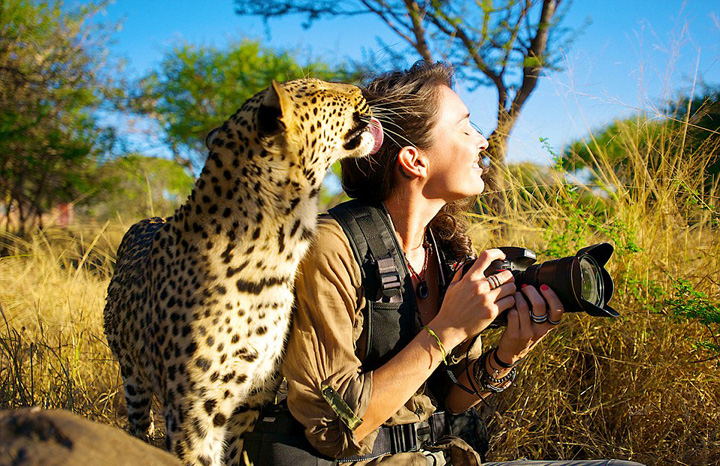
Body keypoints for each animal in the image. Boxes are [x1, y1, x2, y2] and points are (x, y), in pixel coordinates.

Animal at [105, 79, 386, 466]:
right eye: (319, 88)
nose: (361, 89)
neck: (279, 247)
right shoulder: (193, 415)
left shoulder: (250, 402)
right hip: (131, 378)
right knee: (138, 425)